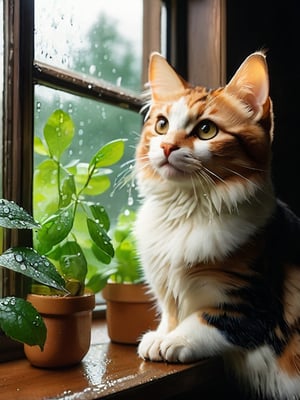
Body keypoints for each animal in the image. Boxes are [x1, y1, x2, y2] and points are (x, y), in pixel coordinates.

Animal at [134, 50, 300, 400]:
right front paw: (161, 333)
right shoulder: (167, 288)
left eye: (206, 130)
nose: (167, 147)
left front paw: (174, 340)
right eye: (162, 125)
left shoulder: (254, 306)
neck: (186, 210)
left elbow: (207, 320)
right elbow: (170, 311)